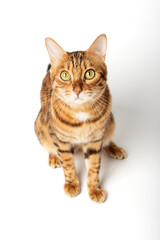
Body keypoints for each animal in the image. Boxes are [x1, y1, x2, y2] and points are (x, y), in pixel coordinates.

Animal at [34, 33, 127, 202]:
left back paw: (114, 148)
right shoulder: (61, 140)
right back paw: (54, 157)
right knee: (50, 145)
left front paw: (94, 188)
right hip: (40, 126)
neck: (81, 111)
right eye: (65, 75)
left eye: (89, 73)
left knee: (107, 140)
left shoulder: (95, 140)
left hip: (111, 122)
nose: (77, 90)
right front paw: (72, 184)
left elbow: (94, 166)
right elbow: (68, 164)